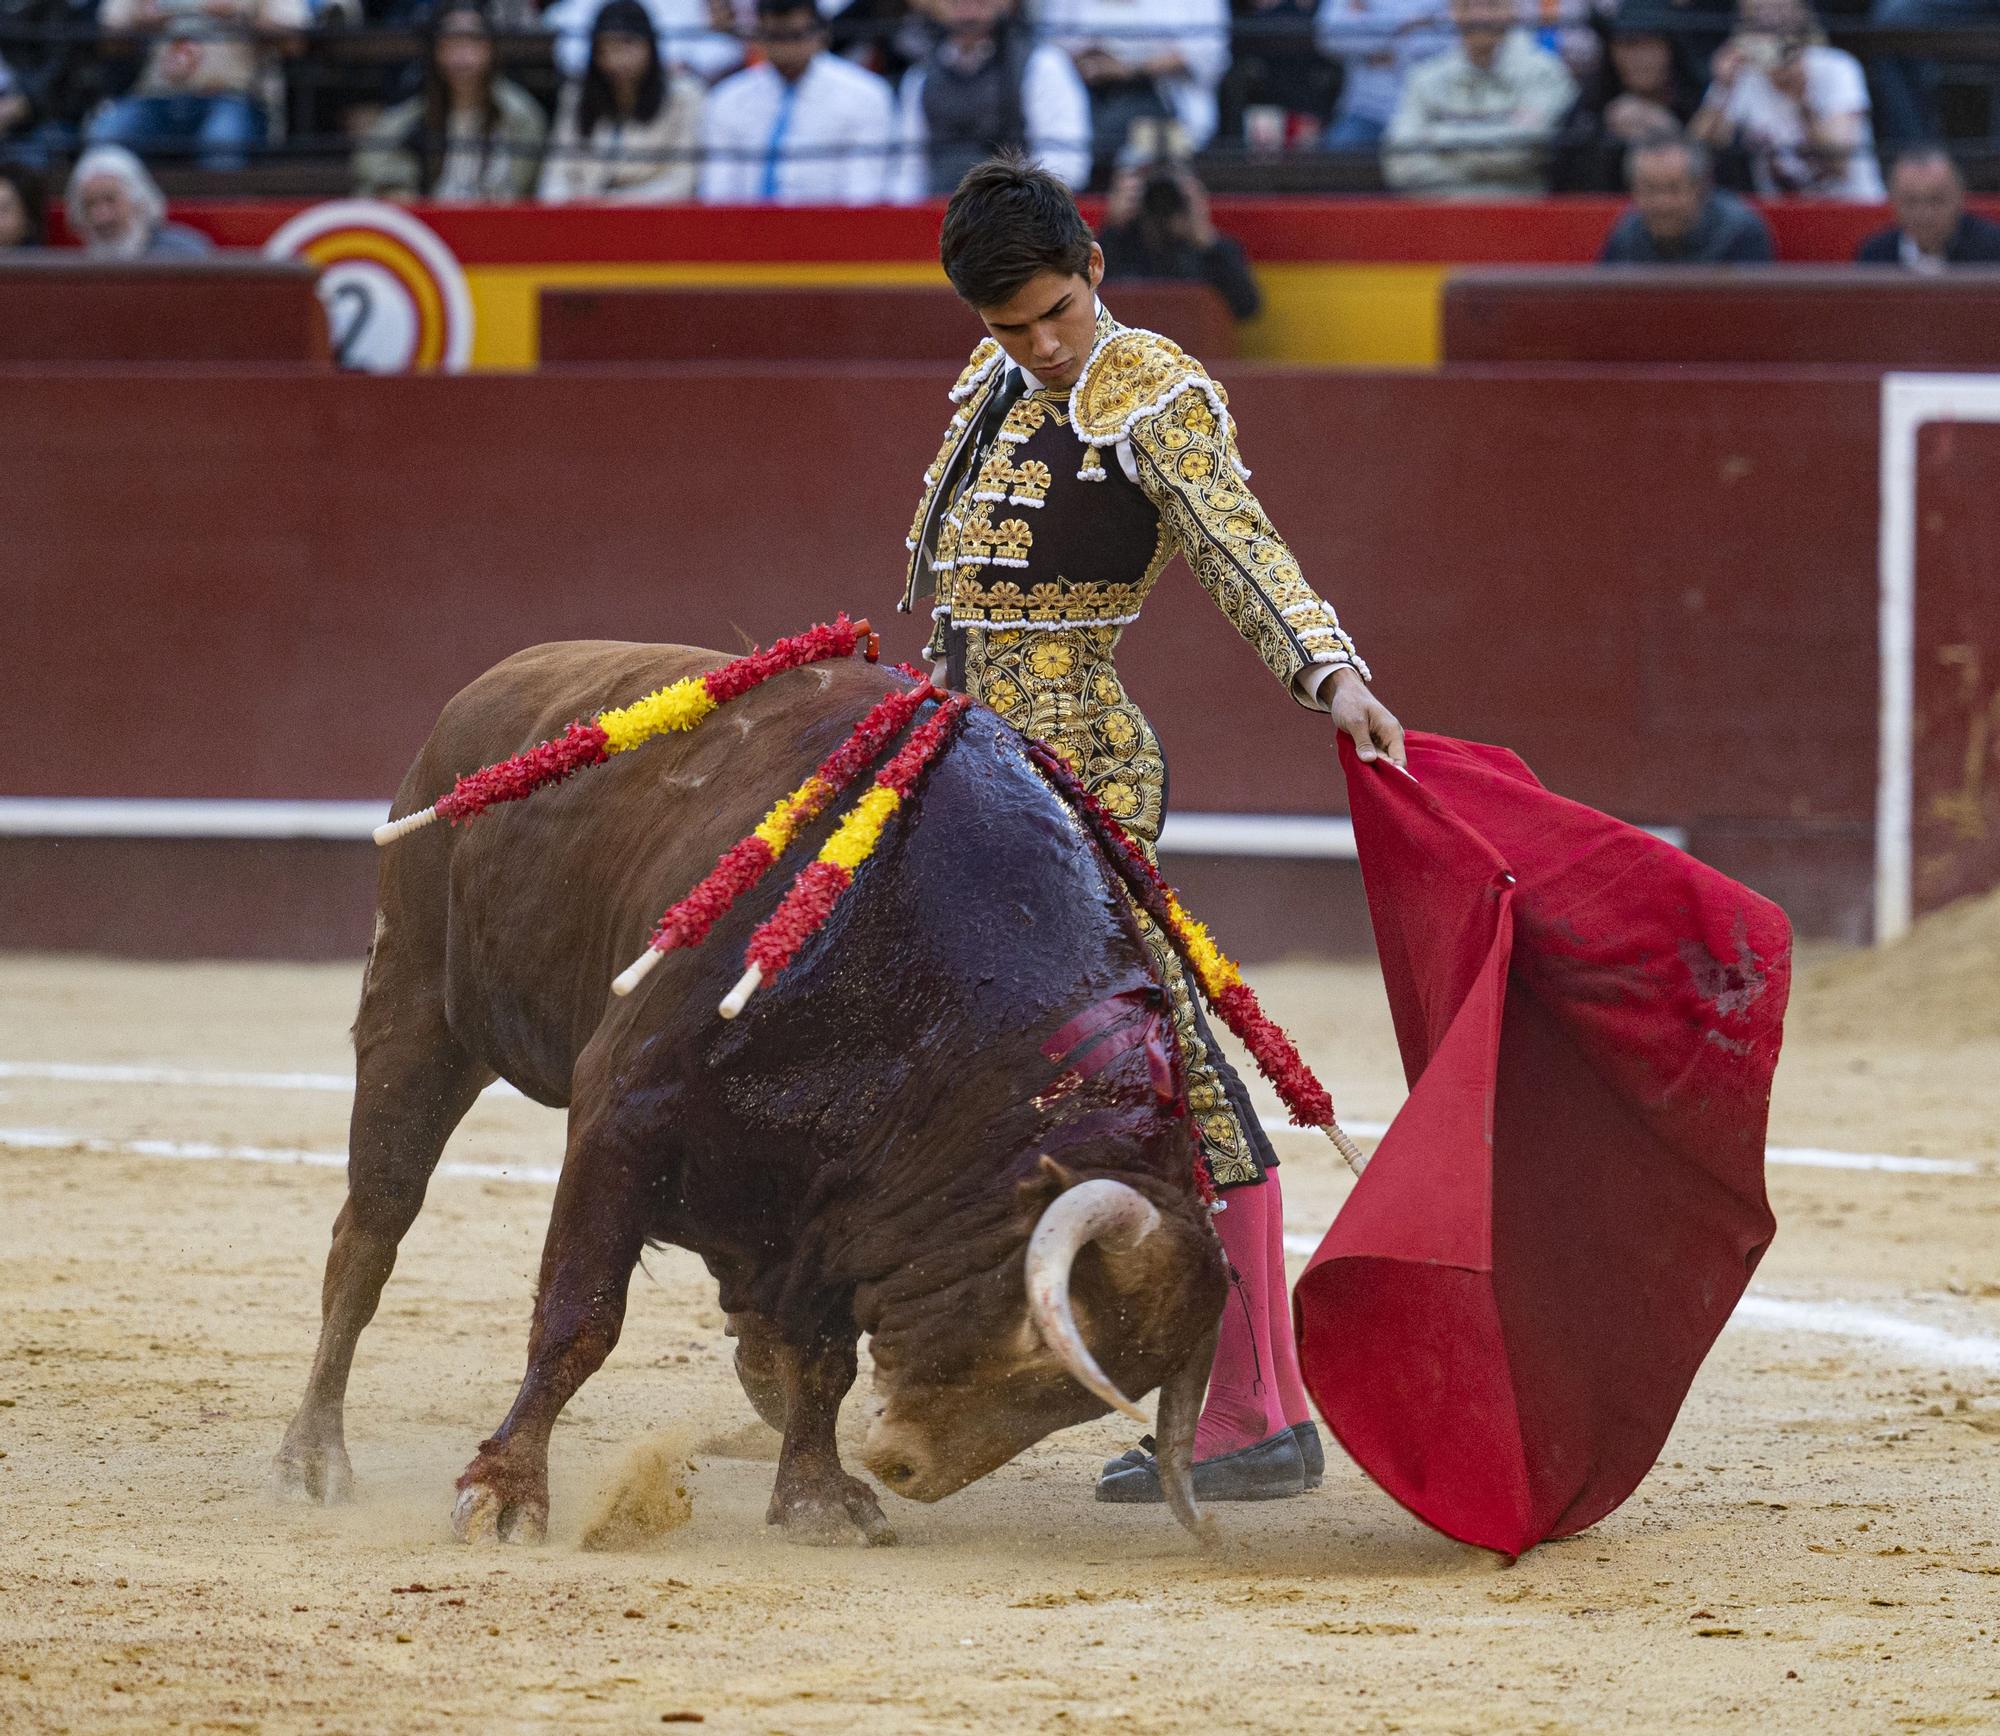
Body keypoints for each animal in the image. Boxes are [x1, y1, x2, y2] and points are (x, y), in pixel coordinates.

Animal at [274, 640, 1224, 1544]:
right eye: (1036, 1338)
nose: (906, 1469)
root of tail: (486, 692)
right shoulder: (619, 1119)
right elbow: (580, 1317)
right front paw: (505, 1492)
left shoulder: (837, 1204)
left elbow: (824, 1360)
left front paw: (818, 1500)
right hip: (414, 1013)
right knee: (370, 1234)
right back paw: (313, 1460)